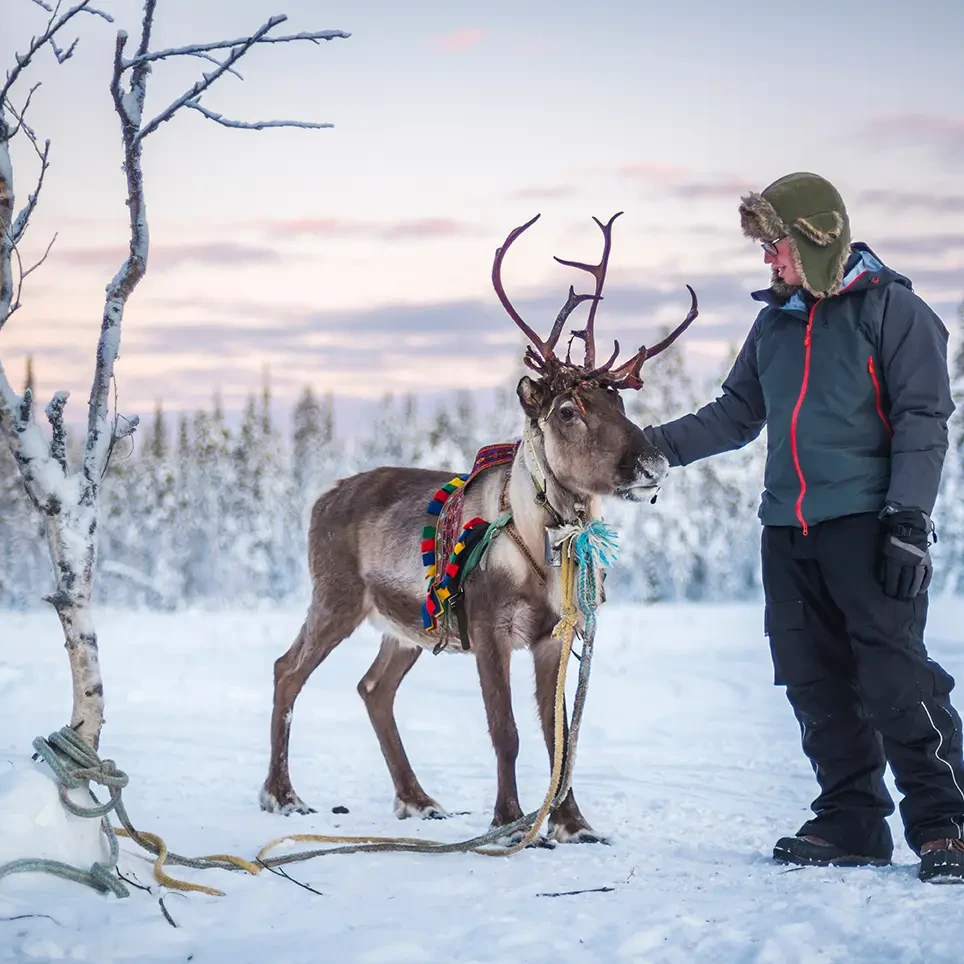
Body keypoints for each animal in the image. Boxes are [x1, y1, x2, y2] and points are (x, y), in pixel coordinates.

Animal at [260, 212, 697, 845]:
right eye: (569, 410)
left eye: (619, 403)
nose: (652, 464)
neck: (543, 553)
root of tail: (320, 498)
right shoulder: (491, 630)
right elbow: (505, 731)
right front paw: (510, 821)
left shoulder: (554, 636)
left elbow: (560, 739)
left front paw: (573, 824)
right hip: (336, 597)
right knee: (287, 669)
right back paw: (283, 794)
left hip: (407, 628)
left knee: (373, 688)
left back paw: (417, 801)